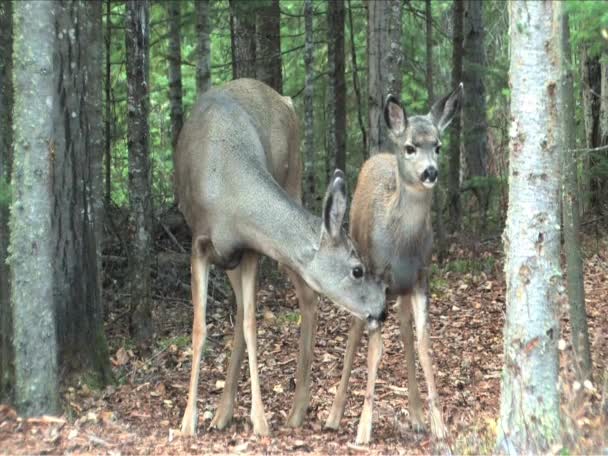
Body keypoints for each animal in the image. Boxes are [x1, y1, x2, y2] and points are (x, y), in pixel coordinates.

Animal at [173, 79, 388, 438]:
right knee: (246, 307)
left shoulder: (251, 250)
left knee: (304, 298)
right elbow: (200, 327)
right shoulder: (199, 244)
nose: (382, 309)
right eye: (357, 269)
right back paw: (223, 413)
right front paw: (188, 421)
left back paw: (297, 409)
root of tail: (282, 97)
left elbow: (251, 325)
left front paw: (259, 421)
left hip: (292, 178)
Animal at [326, 83, 464, 446]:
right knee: (354, 334)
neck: (402, 245)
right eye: (410, 147)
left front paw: (439, 425)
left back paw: (416, 416)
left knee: (404, 331)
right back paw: (333, 417)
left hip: (401, 290)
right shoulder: (376, 279)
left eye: (439, 146)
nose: (430, 172)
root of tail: (378, 156)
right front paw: (363, 430)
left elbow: (424, 344)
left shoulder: (421, 278)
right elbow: (374, 349)